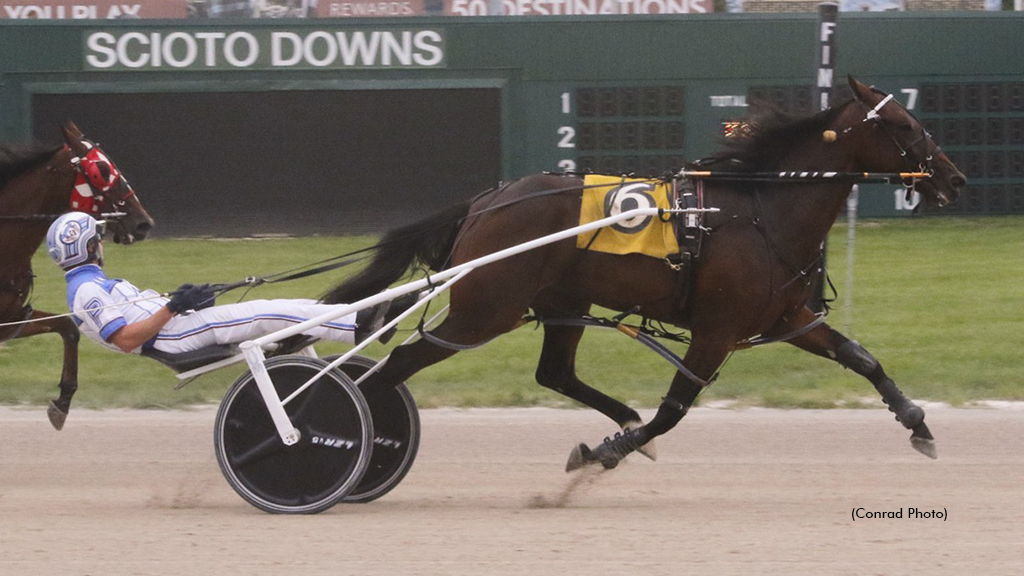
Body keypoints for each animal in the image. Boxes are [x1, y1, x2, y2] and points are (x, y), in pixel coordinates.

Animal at [323, 77, 962, 467]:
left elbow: (862, 358)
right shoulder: (715, 331)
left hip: (562, 302)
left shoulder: (787, 317)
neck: (762, 212)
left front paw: (917, 423)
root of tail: (486, 201)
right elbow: (673, 411)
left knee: (554, 373)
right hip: (484, 309)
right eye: (905, 126)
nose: (952, 178)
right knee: (393, 366)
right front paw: (608, 450)